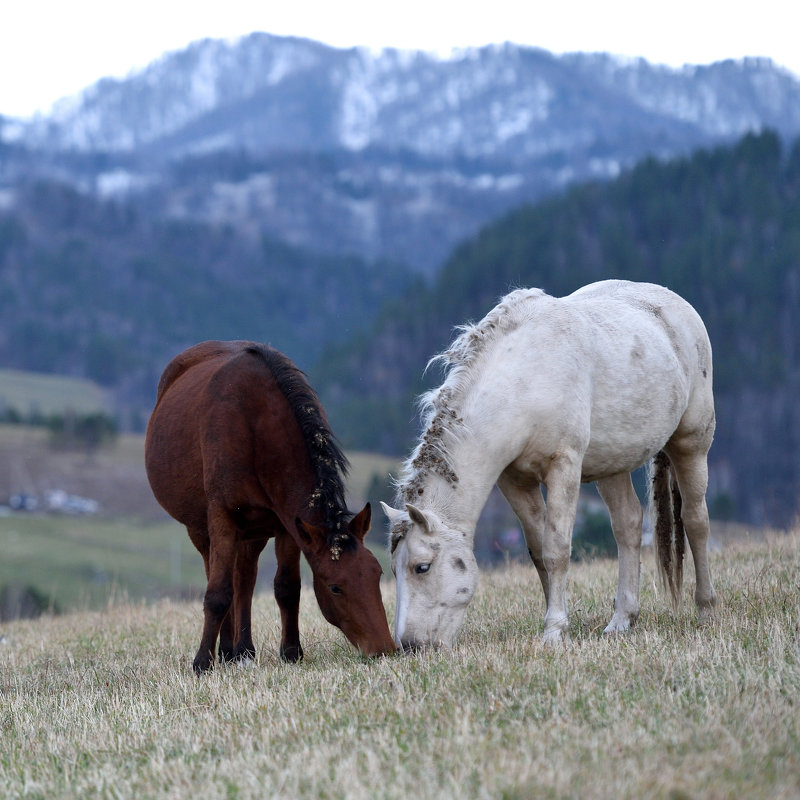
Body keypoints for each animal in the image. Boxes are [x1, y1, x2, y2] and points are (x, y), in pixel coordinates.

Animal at [146, 340, 396, 672]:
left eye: (377, 573)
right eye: (335, 587)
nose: (384, 649)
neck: (256, 423)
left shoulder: (287, 524)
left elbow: (287, 588)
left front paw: (291, 652)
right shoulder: (222, 517)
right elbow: (217, 592)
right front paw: (202, 662)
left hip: (253, 532)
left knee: (244, 580)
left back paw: (241, 649)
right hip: (201, 529)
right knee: (219, 575)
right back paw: (225, 650)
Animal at [382, 282, 720, 648]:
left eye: (422, 567)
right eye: (395, 569)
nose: (410, 645)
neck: (524, 378)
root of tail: (676, 303)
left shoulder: (564, 466)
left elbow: (556, 550)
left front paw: (554, 631)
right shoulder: (514, 480)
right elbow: (538, 552)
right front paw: (557, 623)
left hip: (691, 443)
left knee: (695, 520)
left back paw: (706, 609)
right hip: (612, 465)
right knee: (628, 524)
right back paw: (622, 619)